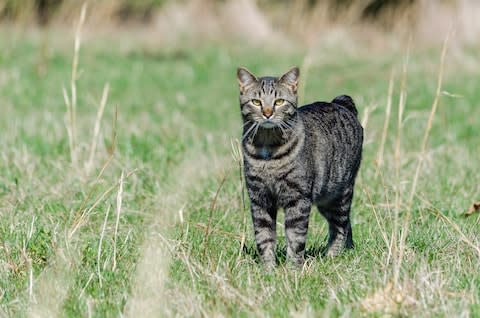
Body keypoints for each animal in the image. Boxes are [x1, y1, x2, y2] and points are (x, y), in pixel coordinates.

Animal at [236, 67, 364, 268]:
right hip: (326, 199)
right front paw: (268, 269)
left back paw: (332, 256)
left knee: (340, 227)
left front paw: (293, 269)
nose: (267, 113)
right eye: (256, 102)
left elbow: (295, 237)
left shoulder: (298, 198)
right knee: (346, 225)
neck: (268, 149)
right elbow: (264, 237)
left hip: (339, 194)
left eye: (279, 101)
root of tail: (340, 102)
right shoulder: (259, 199)